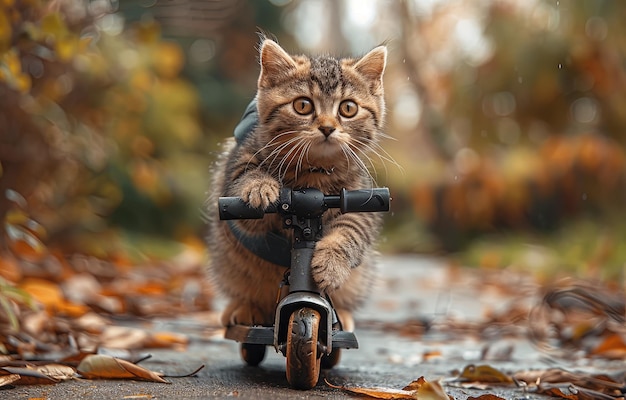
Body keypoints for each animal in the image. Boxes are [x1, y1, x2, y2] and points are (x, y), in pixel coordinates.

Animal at [207, 39, 386, 330]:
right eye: (303, 105)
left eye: (348, 108)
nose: (327, 127)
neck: (313, 171)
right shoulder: (234, 173)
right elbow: (248, 184)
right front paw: (259, 186)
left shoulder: (360, 197)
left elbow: (351, 231)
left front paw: (331, 264)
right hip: (227, 263)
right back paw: (244, 308)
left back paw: (342, 314)